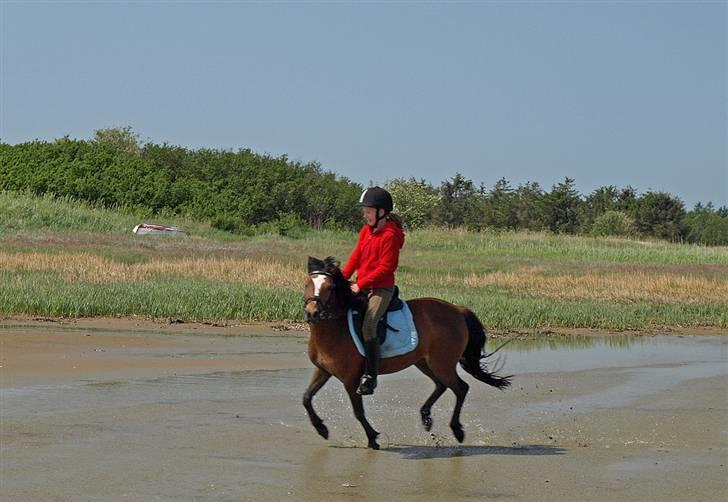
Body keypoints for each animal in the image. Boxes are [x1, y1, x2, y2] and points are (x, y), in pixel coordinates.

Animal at [302, 256, 512, 450]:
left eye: (330, 287)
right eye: (307, 283)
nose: (312, 313)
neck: (335, 328)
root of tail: (458, 310)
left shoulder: (350, 379)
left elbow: (358, 412)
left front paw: (373, 438)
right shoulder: (323, 371)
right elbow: (306, 398)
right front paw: (321, 428)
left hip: (442, 363)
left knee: (460, 388)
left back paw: (457, 430)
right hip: (424, 362)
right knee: (441, 385)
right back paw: (426, 418)